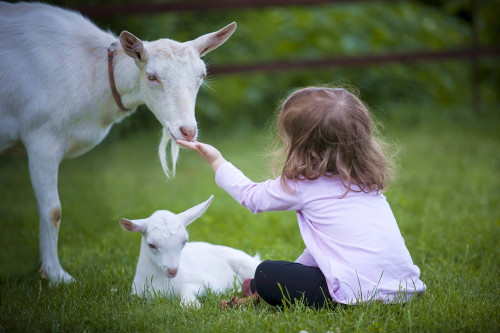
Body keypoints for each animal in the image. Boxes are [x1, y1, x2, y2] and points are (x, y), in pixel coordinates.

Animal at [0, 1, 236, 284]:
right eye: (151, 76)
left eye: (201, 75)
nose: (188, 131)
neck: (93, 73)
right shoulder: (42, 136)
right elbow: (52, 211)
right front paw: (56, 275)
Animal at [120, 195, 262, 306]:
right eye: (151, 245)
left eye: (184, 241)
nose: (172, 270)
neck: (162, 283)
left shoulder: (211, 284)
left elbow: (185, 287)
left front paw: (190, 305)